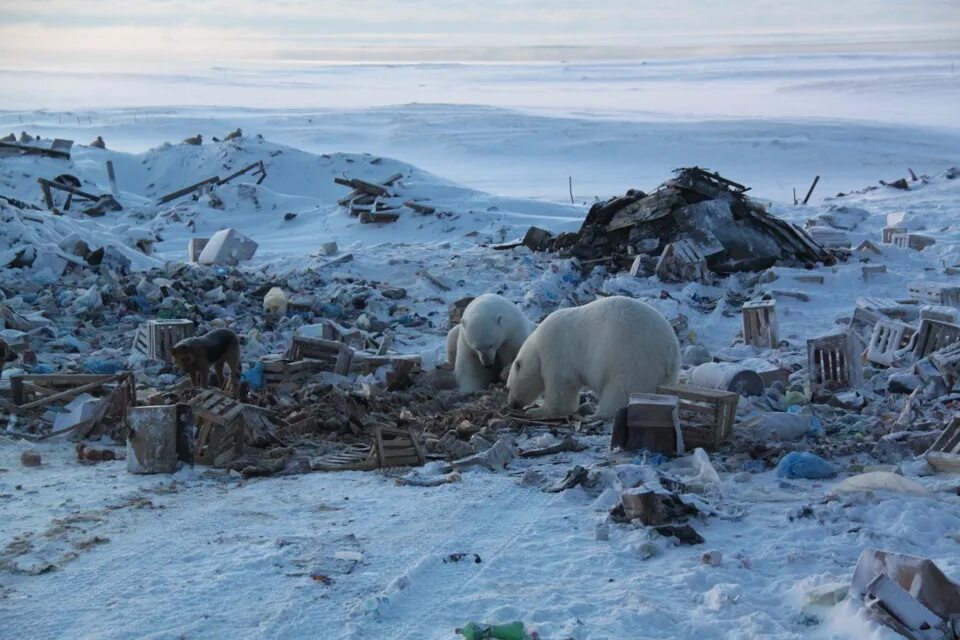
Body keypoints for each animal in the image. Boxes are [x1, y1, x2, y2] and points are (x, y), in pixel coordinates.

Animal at [506, 296, 680, 420]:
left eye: (508, 386)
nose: (512, 404)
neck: (537, 345)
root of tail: (669, 353)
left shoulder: (556, 351)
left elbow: (561, 387)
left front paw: (536, 411)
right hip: (663, 375)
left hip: (633, 359)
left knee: (620, 390)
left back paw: (596, 414)